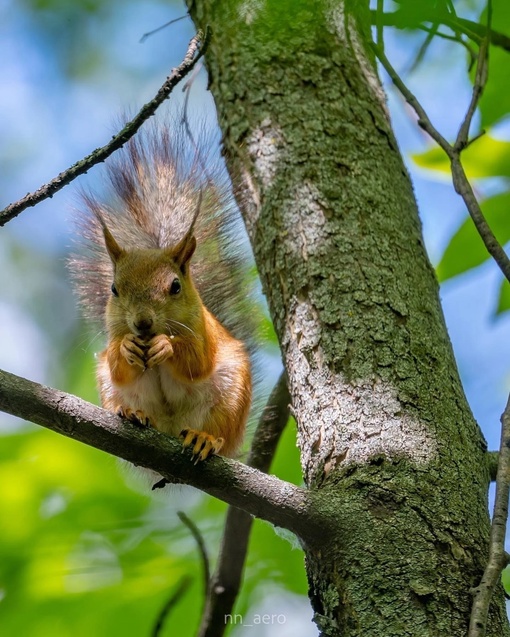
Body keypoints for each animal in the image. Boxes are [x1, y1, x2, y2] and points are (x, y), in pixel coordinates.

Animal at [70, 124, 254, 462]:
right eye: (114, 289)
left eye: (175, 286)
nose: (142, 324)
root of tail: (171, 426)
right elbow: (118, 367)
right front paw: (127, 348)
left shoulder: (202, 330)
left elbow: (197, 361)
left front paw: (165, 346)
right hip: (110, 390)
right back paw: (132, 413)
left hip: (231, 396)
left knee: (218, 428)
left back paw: (204, 438)